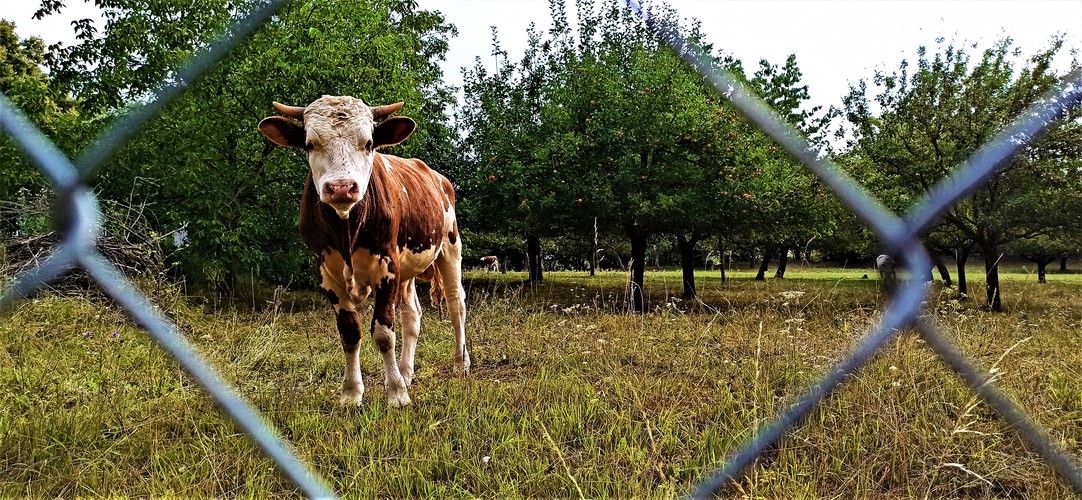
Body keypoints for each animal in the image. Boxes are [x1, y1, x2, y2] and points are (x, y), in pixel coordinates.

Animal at [261, 95, 469, 409]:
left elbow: (383, 333)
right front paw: (351, 392)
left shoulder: (387, 267)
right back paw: (406, 371)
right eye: (309, 144)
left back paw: (460, 363)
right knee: (412, 316)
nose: (341, 188)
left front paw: (396, 393)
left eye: (369, 142)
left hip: (449, 247)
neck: (347, 227)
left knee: (457, 304)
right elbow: (350, 332)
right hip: (407, 268)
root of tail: (437, 177)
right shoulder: (327, 274)